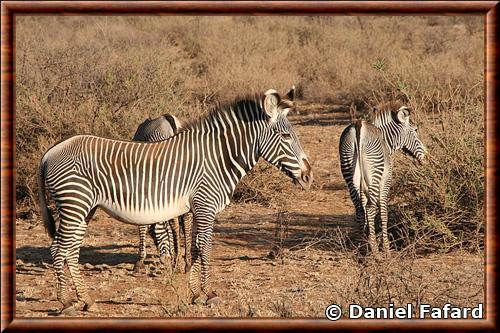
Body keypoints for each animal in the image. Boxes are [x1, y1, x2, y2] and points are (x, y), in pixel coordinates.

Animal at [132, 113, 192, 272]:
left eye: (153, 234)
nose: (164, 258)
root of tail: (172, 121)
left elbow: (142, 224)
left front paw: (139, 261)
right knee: (187, 219)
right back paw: (187, 263)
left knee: (174, 221)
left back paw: (177, 263)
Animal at [338, 101, 424, 254]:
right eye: (415, 130)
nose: (425, 155)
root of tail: (358, 127)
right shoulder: (386, 181)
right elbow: (384, 211)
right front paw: (386, 248)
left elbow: (365, 209)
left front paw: (367, 240)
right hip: (375, 172)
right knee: (371, 208)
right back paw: (375, 252)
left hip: (349, 170)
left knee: (359, 209)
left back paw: (362, 248)